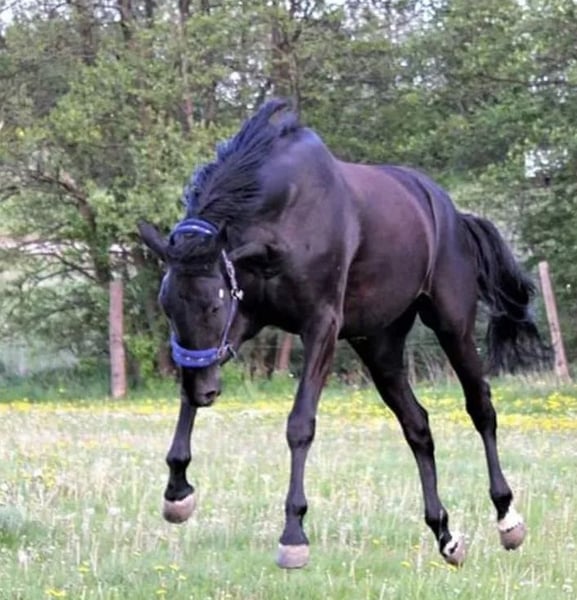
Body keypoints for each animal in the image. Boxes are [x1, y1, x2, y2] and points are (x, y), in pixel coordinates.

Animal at [138, 99, 548, 569]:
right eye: (168, 306)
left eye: (213, 304)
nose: (206, 390)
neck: (284, 212)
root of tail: (452, 214)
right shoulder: (244, 321)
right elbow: (186, 399)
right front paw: (177, 492)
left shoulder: (320, 326)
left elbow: (300, 424)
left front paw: (293, 534)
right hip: (380, 346)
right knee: (417, 425)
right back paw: (445, 535)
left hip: (453, 326)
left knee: (481, 409)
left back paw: (507, 518)